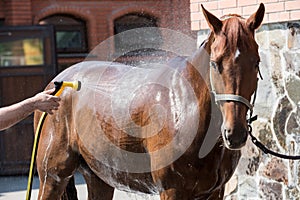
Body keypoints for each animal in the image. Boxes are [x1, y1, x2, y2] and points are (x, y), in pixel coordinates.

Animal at [34, 3, 264, 200]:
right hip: (52, 177)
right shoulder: (171, 190)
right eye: (215, 64)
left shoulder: (215, 191)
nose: (235, 133)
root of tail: (58, 84)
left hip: (99, 177)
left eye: (256, 62)